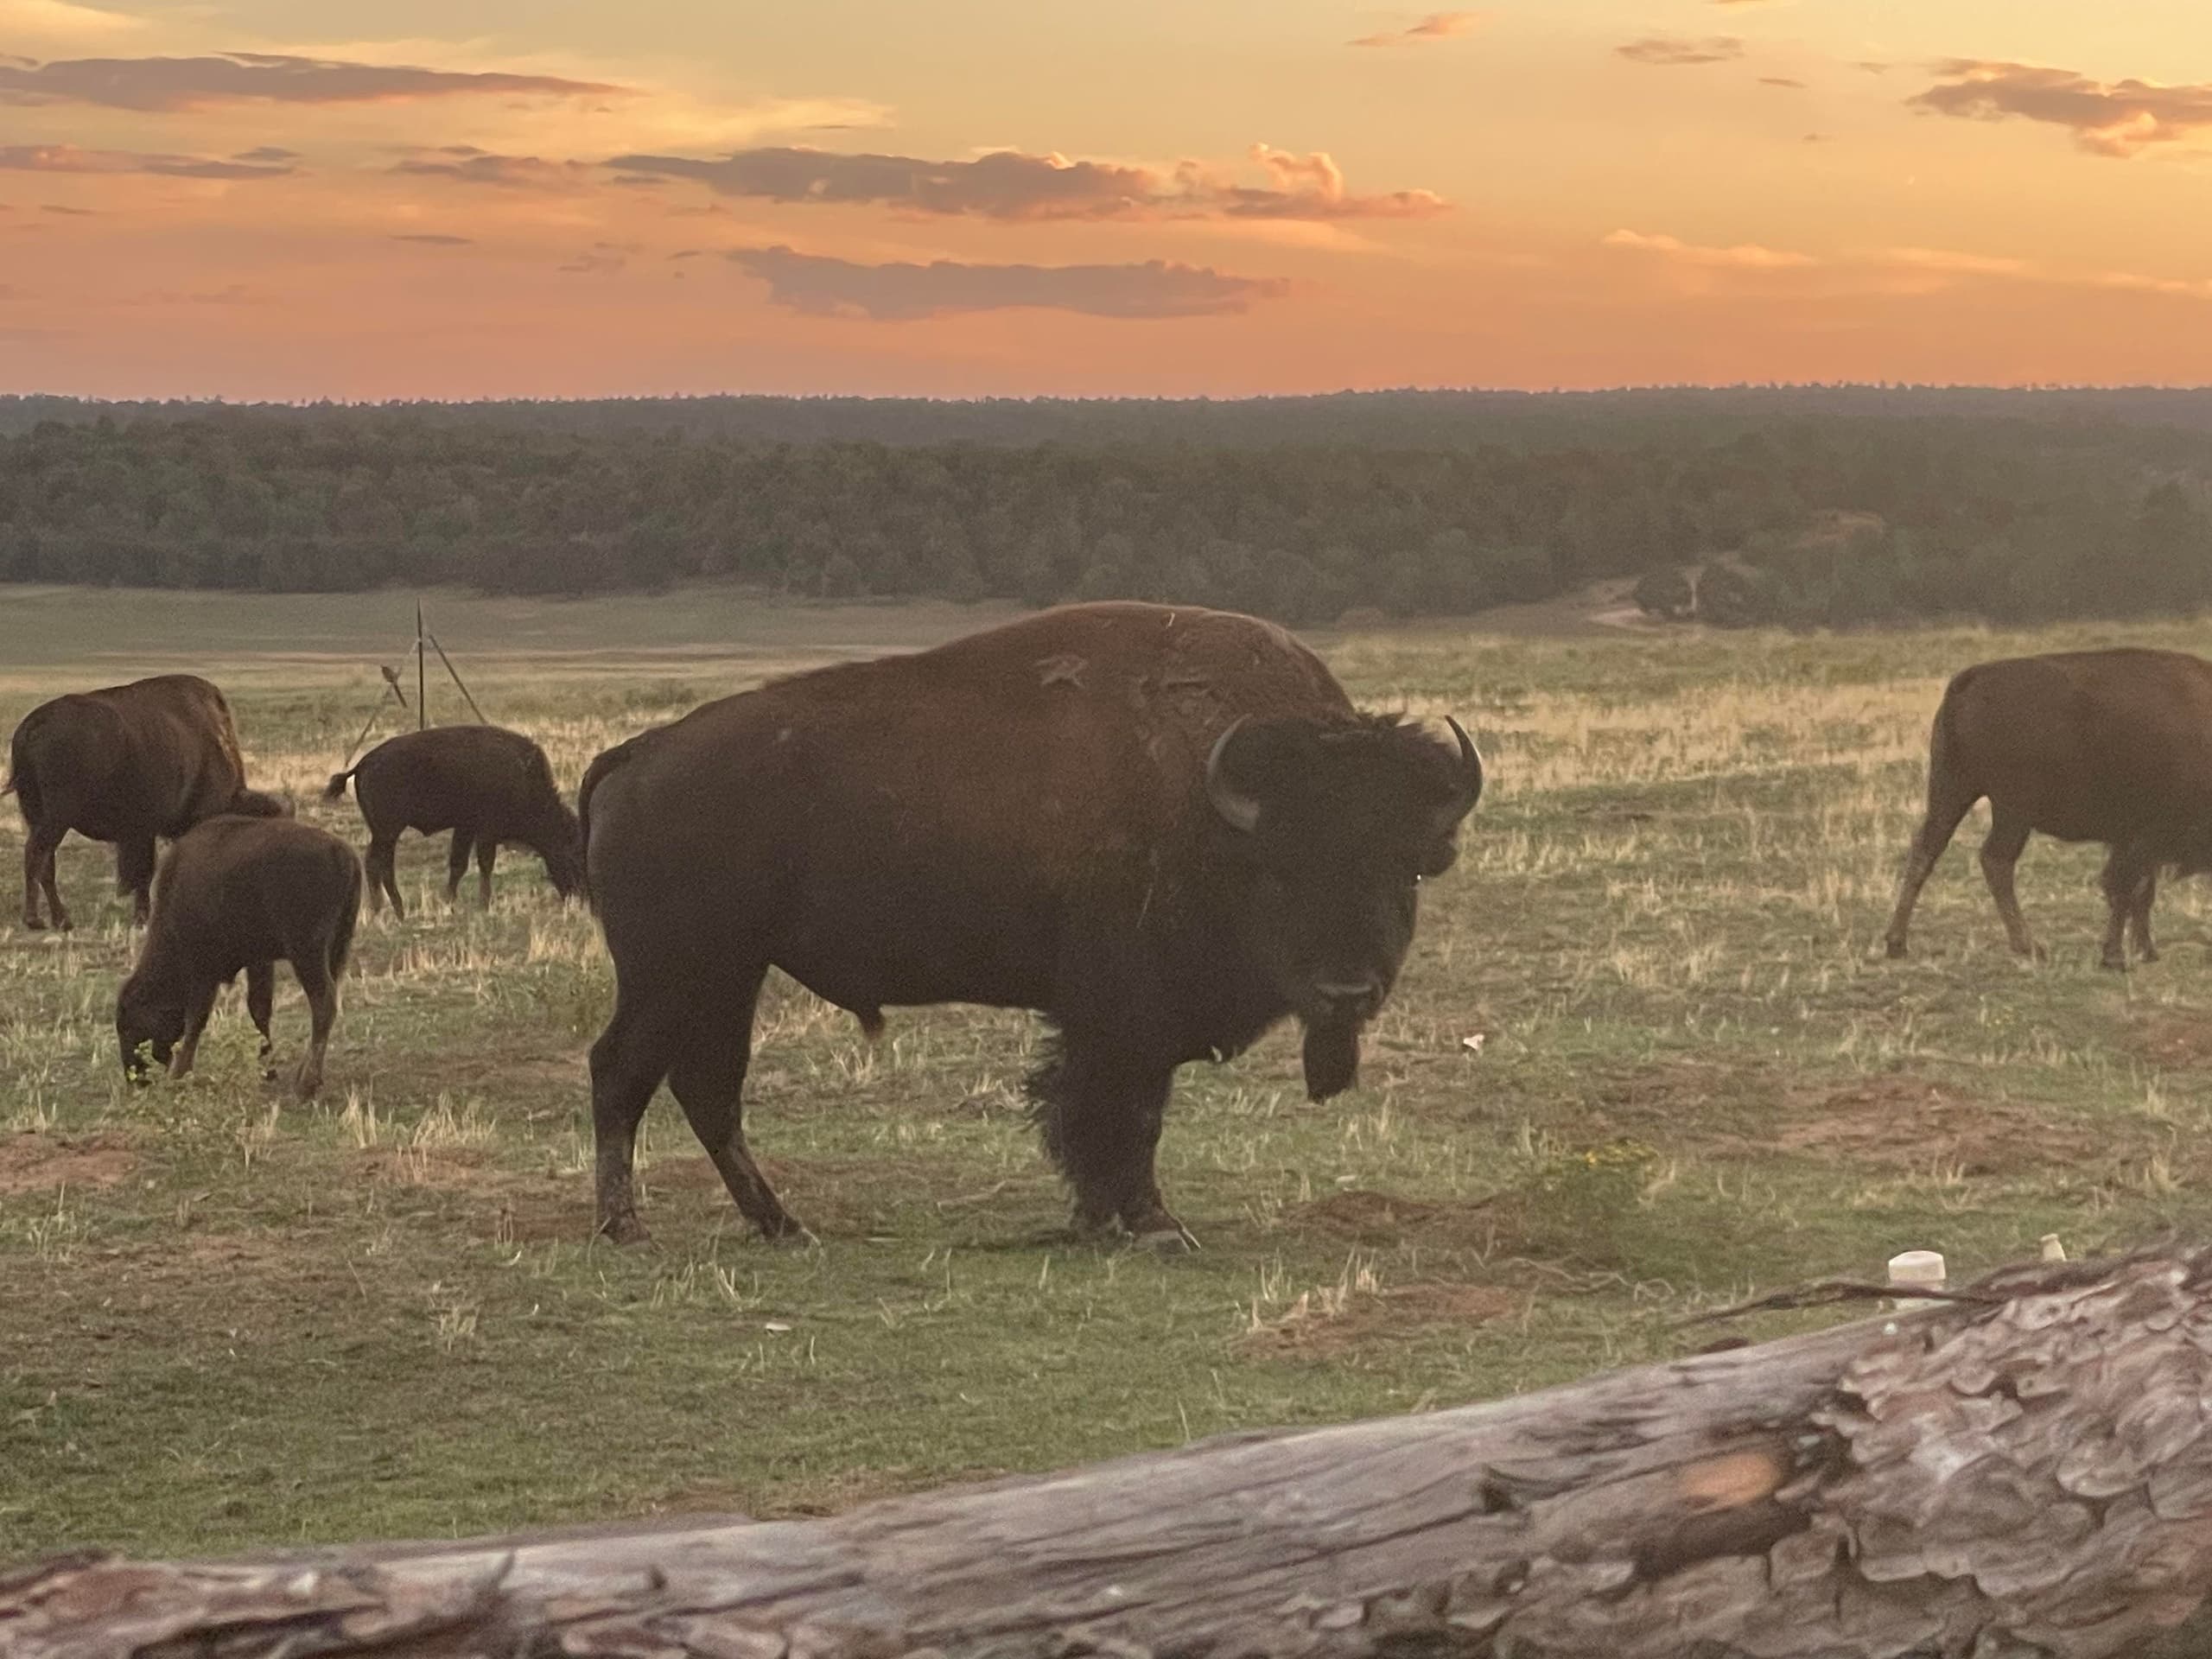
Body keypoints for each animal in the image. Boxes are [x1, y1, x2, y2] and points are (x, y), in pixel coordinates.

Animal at [8, 673, 287, 932]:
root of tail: (32, 725)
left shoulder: (142, 831)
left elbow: (142, 873)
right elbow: (144, 872)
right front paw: (143, 918)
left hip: (38, 814)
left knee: (46, 862)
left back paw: (60, 921)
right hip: (57, 817)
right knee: (37, 855)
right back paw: (38, 920)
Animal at [117, 814, 363, 1100]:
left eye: (127, 1025)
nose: (133, 1078)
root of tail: (342, 853)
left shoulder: (203, 969)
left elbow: (196, 1017)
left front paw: (180, 1073)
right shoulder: (259, 960)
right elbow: (259, 1009)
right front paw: (267, 1069)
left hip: (306, 952)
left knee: (323, 1002)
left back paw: (306, 1086)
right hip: (334, 949)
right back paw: (308, 1078)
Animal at [324, 725, 583, 918]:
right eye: (571, 856)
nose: (579, 898)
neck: (524, 778)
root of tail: (363, 763)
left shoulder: (466, 828)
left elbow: (459, 864)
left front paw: (449, 901)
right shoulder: (485, 831)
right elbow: (484, 864)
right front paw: (484, 904)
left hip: (383, 833)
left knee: (375, 862)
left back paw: (384, 909)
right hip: (388, 831)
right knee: (381, 864)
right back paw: (395, 910)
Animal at [579, 601, 1483, 1248]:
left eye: (1404, 869)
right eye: (1282, 870)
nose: (1346, 992)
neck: (1212, 808)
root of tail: (639, 754)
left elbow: (1100, 1111)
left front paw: (1102, 1218)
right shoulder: (1126, 1017)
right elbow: (1123, 1113)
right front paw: (1152, 1225)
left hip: (728, 976)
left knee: (706, 1090)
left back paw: (781, 1225)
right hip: (674, 973)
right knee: (622, 1071)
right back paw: (627, 1227)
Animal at [1883, 647, 2212, 969]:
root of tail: (1970, 680)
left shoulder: (2136, 843)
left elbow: (2139, 893)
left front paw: (2145, 951)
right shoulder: (2143, 837)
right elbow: (2125, 889)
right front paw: (2115, 957)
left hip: (1953, 792)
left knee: (1927, 851)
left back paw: (1897, 944)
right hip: (2010, 811)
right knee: (1995, 860)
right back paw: (2029, 947)